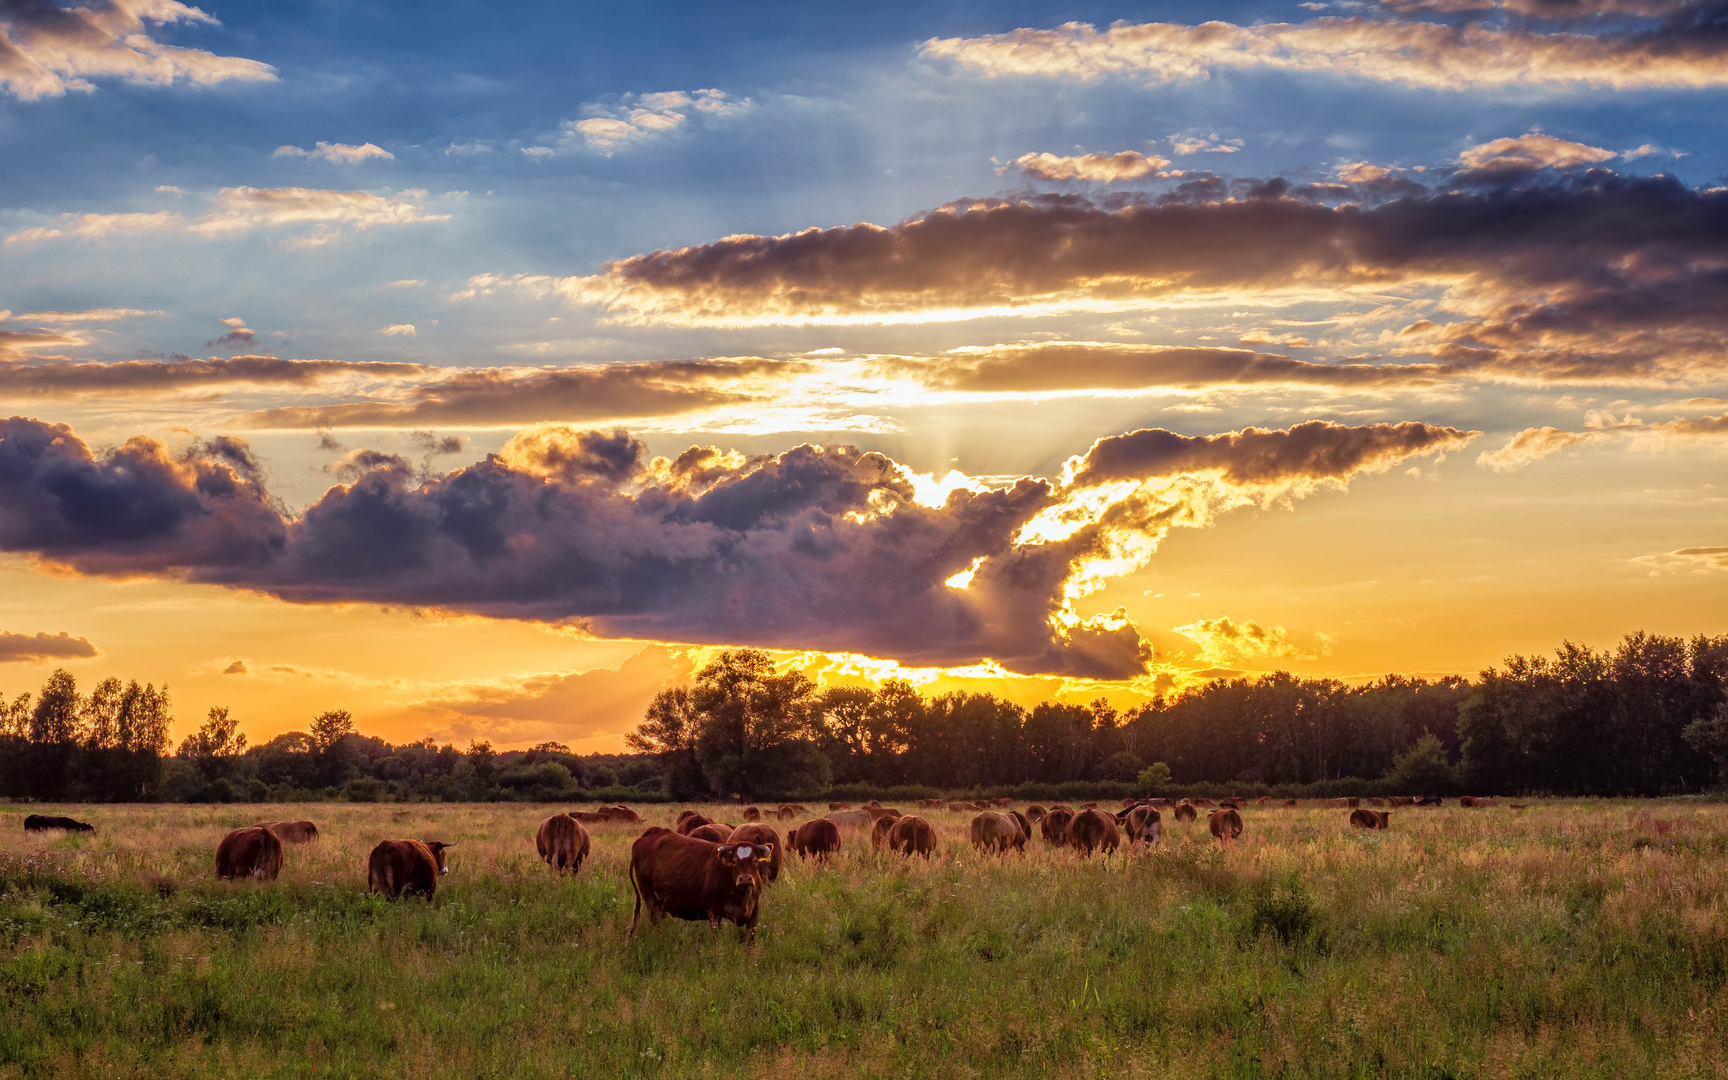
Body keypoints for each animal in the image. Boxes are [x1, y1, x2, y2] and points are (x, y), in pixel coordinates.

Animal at [628, 829, 770, 940]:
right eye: (734, 861)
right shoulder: (714, 914)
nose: (745, 879)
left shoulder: (753, 915)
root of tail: (653, 832)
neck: (742, 896)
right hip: (650, 898)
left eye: (755, 861)